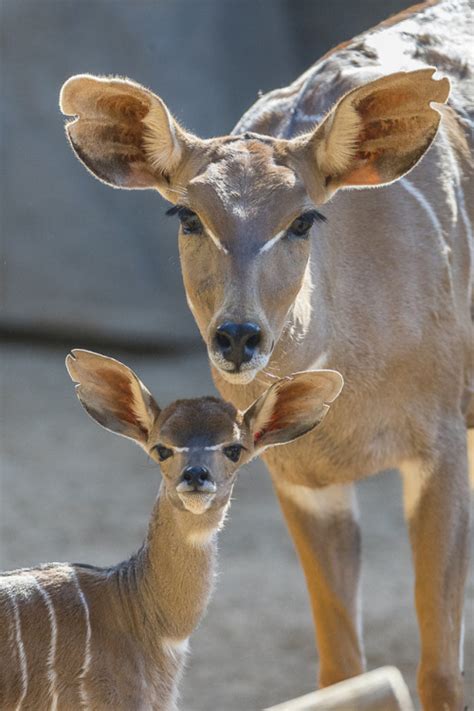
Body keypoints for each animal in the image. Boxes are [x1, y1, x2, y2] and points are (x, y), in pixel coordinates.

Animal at [60, 2, 474, 708]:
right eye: (187, 215)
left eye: (303, 219)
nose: (237, 336)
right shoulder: (303, 479)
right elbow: (342, 667)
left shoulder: (440, 449)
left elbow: (440, 670)